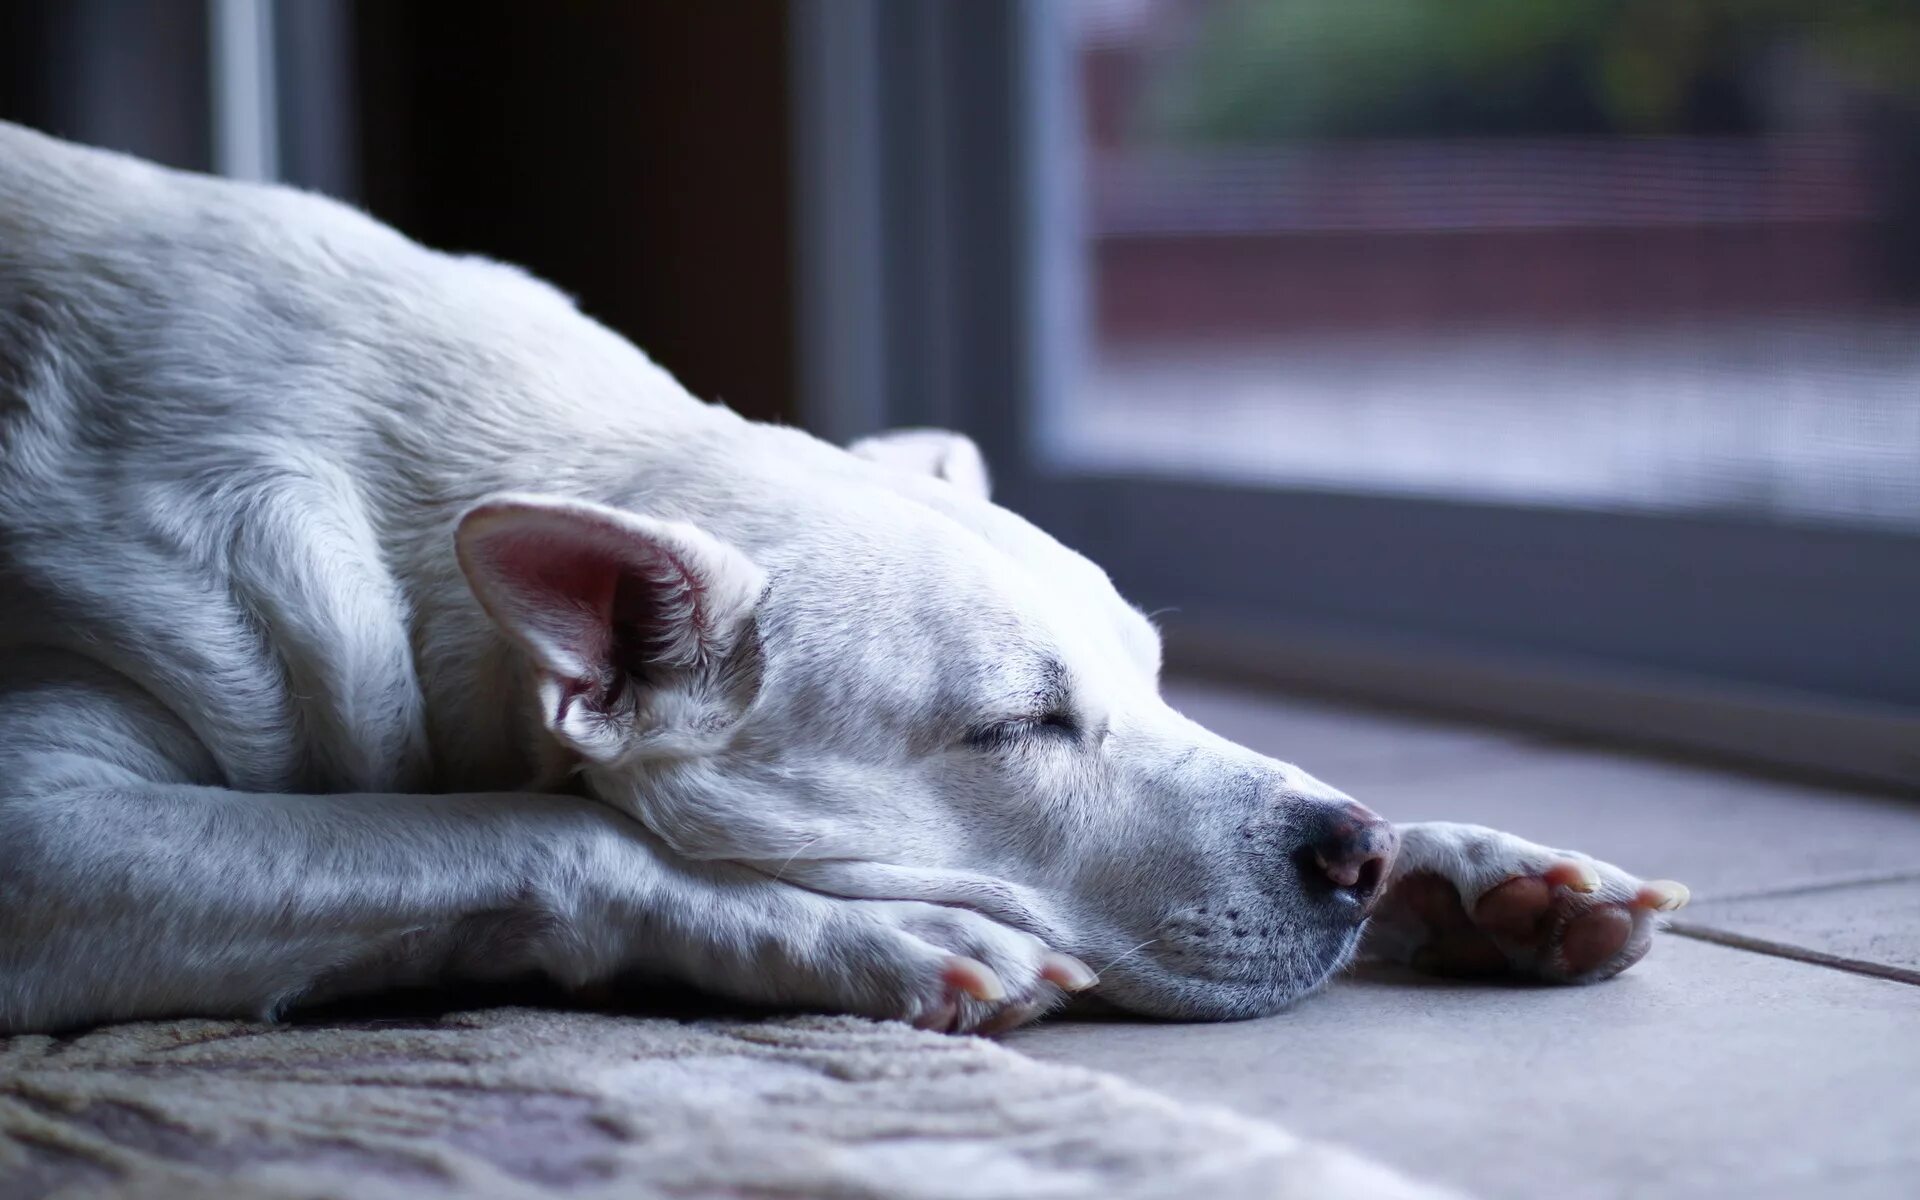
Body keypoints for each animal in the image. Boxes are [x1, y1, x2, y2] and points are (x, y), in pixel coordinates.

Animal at [0, 126, 1681, 1036]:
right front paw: (852, 941)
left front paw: (1470, 867)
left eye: (1155, 676)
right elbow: (505, 830)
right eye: (1015, 731)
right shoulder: (50, 836)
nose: (1355, 852)